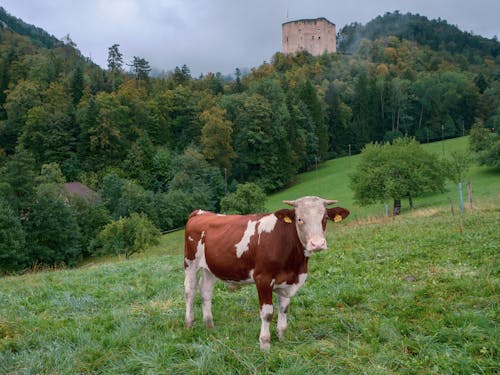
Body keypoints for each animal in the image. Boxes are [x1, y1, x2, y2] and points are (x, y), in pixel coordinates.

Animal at [182, 195, 350, 352]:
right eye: (300, 219)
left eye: (325, 218)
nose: (317, 244)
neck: (295, 264)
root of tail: (201, 212)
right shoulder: (263, 279)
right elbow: (267, 313)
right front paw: (265, 345)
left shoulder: (288, 281)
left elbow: (284, 308)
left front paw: (282, 338)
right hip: (190, 262)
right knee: (190, 290)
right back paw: (189, 324)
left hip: (210, 267)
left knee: (205, 290)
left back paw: (209, 325)